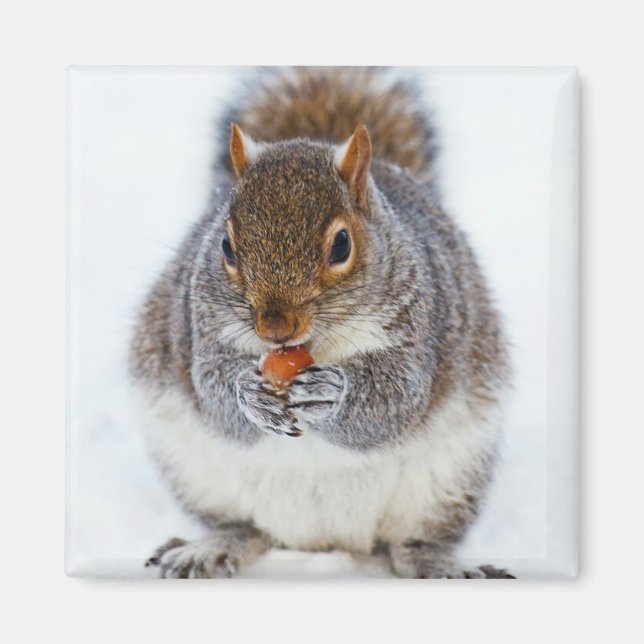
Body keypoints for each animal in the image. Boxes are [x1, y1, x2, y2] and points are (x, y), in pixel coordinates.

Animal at [130, 67, 513, 579]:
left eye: (342, 245)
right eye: (226, 246)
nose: (274, 328)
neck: (314, 344)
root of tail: (323, 540)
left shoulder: (422, 326)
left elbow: (397, 400)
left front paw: (332, 393)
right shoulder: (201, 327)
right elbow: (211, 390)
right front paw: (248, 394)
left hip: (449, 479)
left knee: (413, 540)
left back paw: (437, 563)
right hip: (195, 472)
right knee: (245, 526)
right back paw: (211, 547)